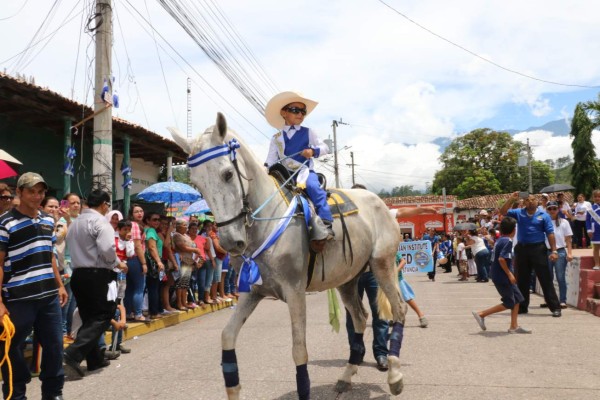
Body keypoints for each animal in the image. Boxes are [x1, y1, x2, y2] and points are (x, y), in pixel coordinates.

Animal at [169, 113, 408, 400]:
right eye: (196, 184)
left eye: (227, 174)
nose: (229, 241)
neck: (268, 218)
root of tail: (383, 205)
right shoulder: (252, 291)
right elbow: (227, 337)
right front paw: (233, 388)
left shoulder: (295, 291)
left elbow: (299, 351)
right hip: (347, 279)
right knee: (361, 318)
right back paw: (346, 375)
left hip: (382, 264)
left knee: (398, 310)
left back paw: (394, 374)